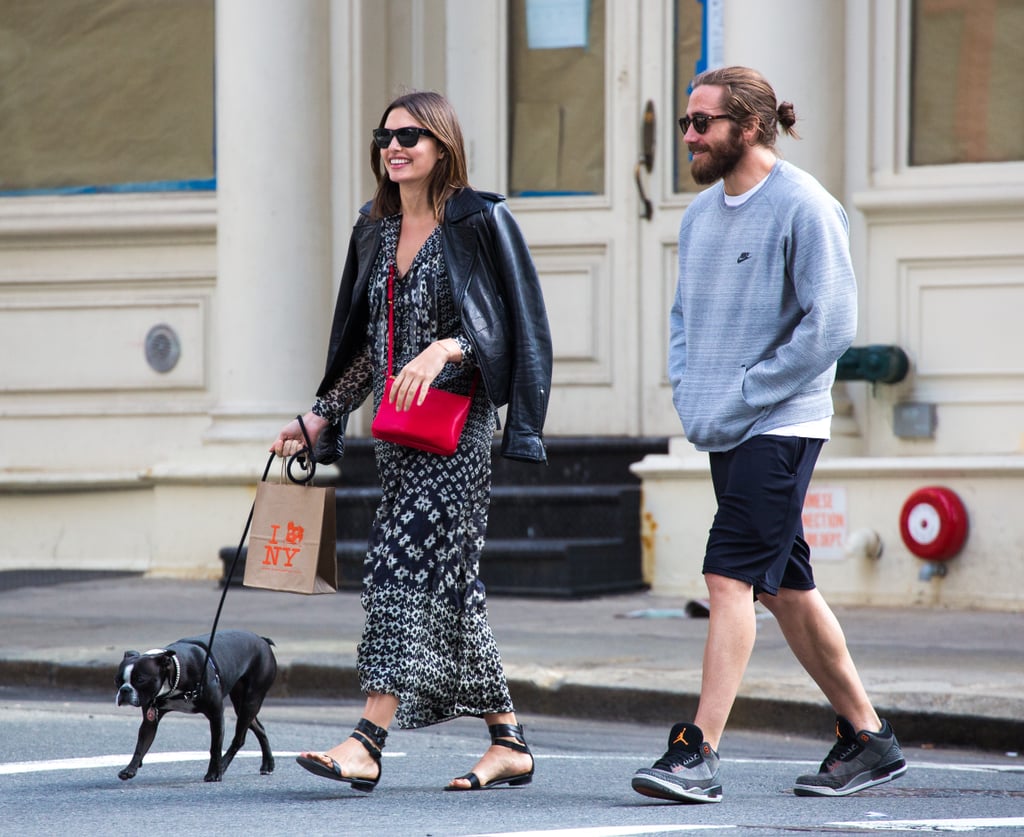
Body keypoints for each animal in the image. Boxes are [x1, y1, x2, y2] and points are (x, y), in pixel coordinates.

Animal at [114, 631, 276, 778]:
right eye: (117, 681)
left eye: (140, 680)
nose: (124, 690)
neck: (174, 675)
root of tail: (262, 640)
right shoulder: (150, 720)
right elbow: (141, 745)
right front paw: (130, 768)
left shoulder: (216, 714)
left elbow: (215, 747)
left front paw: (213, 773)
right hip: (241, 704)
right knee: (259, 728)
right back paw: (268, 763)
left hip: (251, 701)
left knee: (239, 738)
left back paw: (222, 766)